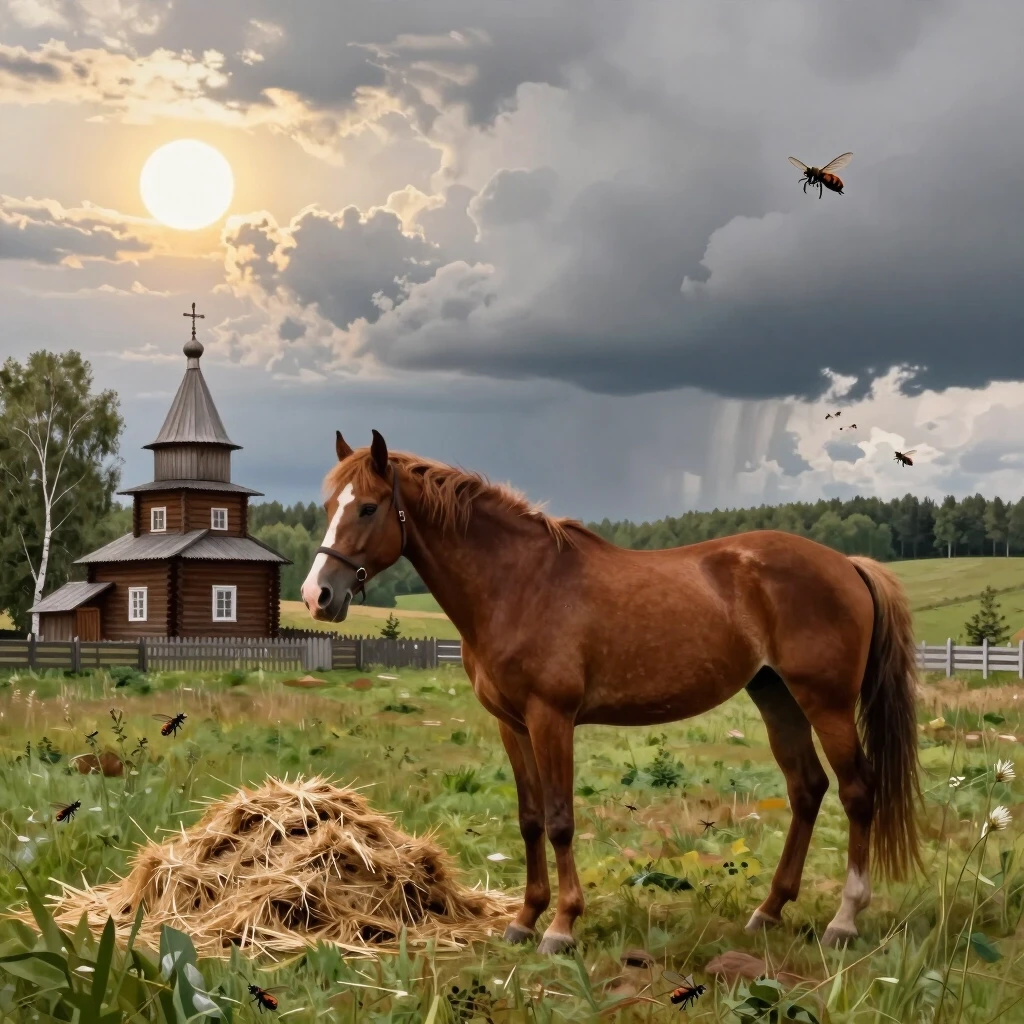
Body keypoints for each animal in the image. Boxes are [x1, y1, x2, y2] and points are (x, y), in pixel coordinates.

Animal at [301, 430, 922, 954]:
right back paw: (768, 911)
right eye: (330, 507)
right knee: (807, 789)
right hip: (776, 696)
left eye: (368, 507)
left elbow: (559, 820)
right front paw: (524, 920)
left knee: (857, 792)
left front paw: (561, 927)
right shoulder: (512, 724)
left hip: (827, 702)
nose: (317, 595)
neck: (517, 583)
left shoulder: (551, 718)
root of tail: (847, 563)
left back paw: (844, 919)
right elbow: (530, 820)